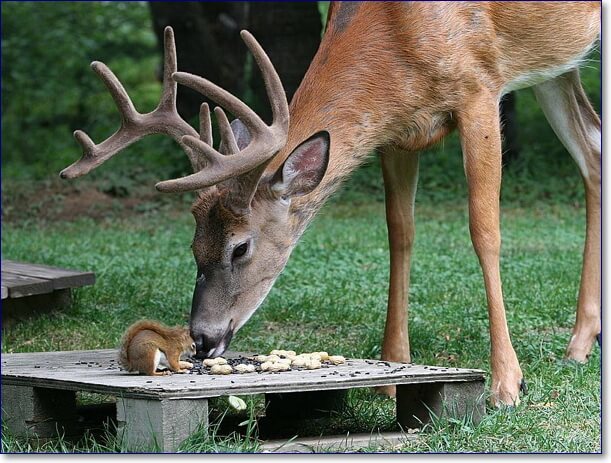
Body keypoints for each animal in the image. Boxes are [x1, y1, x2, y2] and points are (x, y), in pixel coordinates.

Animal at [59, 1, 600, 406]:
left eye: (240, 247)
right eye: (194, 246)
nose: (204, 339)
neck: (398, 36)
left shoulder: (479, 91)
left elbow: (484, 230)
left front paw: (508, 383)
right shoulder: (398, 131)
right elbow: (399, 234)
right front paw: (392, 371)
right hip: (558, 65)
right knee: (594, 153)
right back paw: (581, 342)